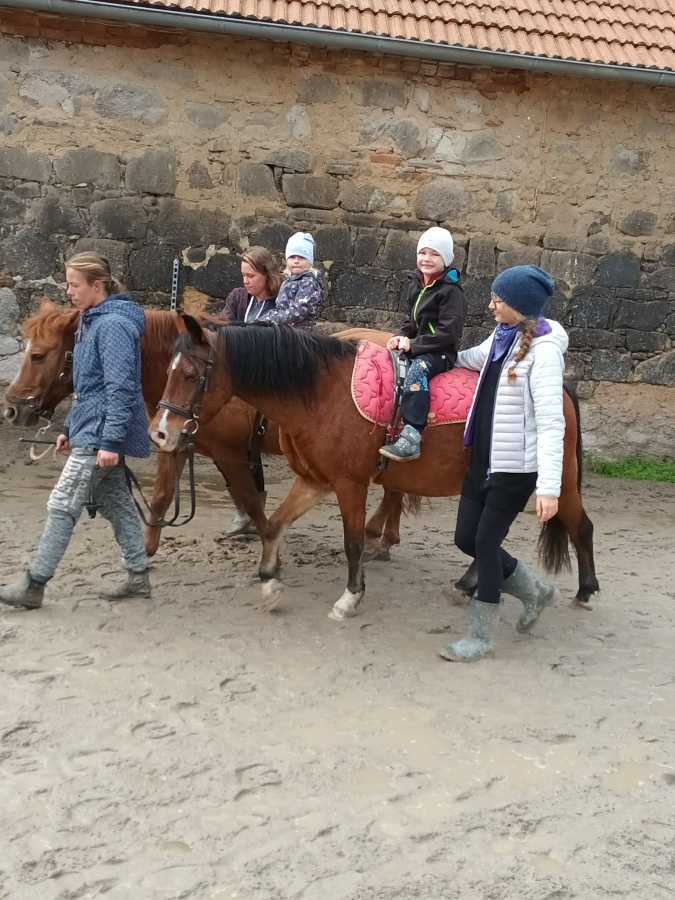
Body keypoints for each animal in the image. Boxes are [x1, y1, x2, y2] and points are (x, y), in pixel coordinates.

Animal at [2, 301, 406, 561]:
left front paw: (267, 546)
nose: (12, 408)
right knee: (394, 490)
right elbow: (162, 496)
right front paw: (147, 549)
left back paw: (376, 536)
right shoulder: (175, 443)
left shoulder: (230, 454)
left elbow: (252, 501)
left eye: (39, 355)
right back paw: (385, 538)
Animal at [149, 317, 599, 621]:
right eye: (166, 370)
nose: (160, 433)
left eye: (191, 373)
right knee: (485, 538)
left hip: (555, 485)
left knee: (580, 527)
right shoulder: (313, 481)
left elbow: (352, 542)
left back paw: (584, 592)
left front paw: (350, 598)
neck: (321, 393)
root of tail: (559, 388)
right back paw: (468, 585)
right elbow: (274, 525)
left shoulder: (350, 485)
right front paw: (271, 582)